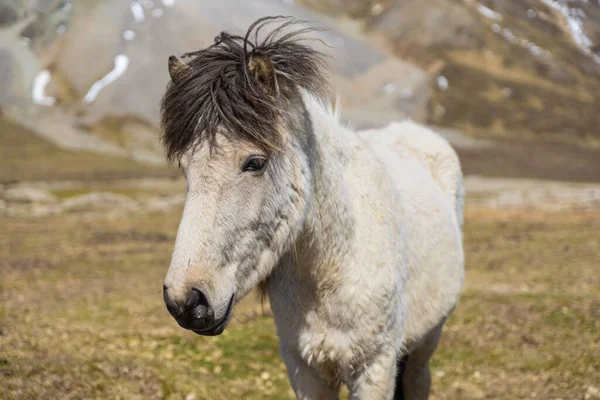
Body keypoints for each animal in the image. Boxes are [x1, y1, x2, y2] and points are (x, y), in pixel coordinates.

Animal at [159, 16, 464, 400]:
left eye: (255, 162)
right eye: (185, 167)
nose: (186, 301)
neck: (335, 262)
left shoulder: (375, 368)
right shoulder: (303, 368)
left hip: (428, 338)